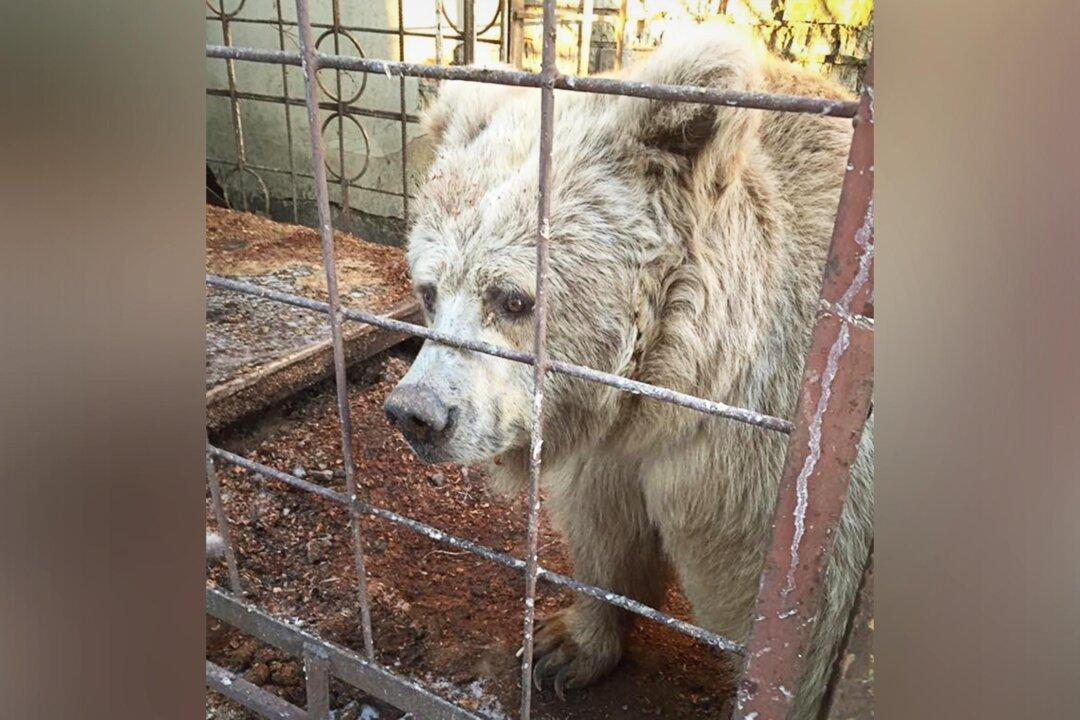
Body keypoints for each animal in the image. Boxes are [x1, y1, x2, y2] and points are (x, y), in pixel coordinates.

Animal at [383, 26, 873, 720]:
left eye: (513, 299)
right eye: (428, 290)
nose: (417, 413)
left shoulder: (790, 488)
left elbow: (807, 635)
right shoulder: (610, 444)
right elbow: (604, 531)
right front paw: (563, 645)